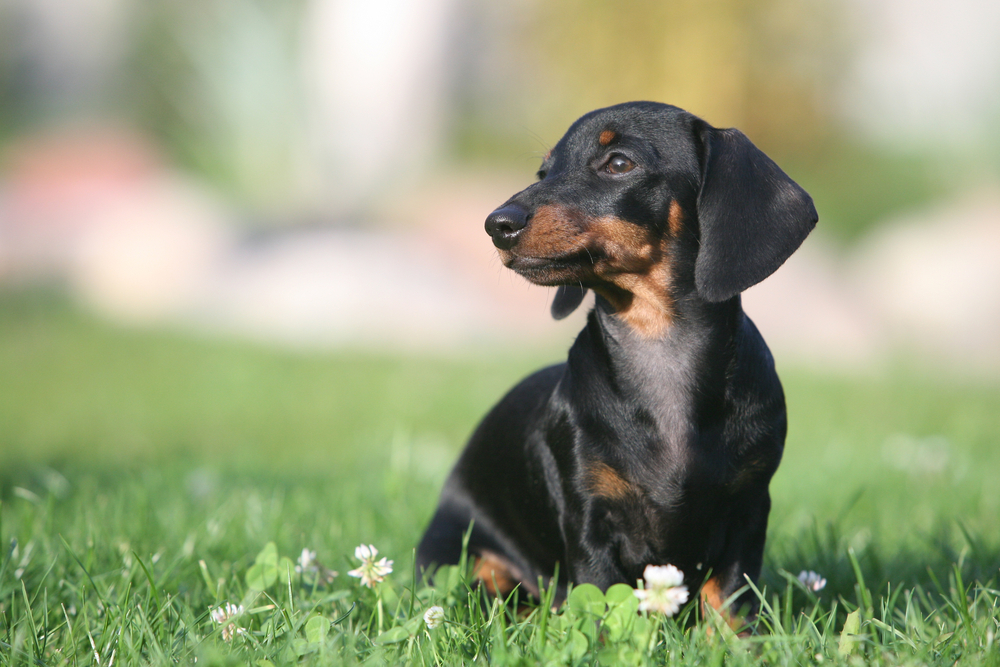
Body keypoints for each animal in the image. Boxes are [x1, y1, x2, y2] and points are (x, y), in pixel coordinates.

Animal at [418, 102, 816, 624]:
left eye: (619, 163)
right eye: (544, 171)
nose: (496, 225)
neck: (659, 350)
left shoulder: (748, 508)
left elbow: (728, 601)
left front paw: (736, 639)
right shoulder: (589, 518)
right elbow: (604, 600)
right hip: (460, 555)